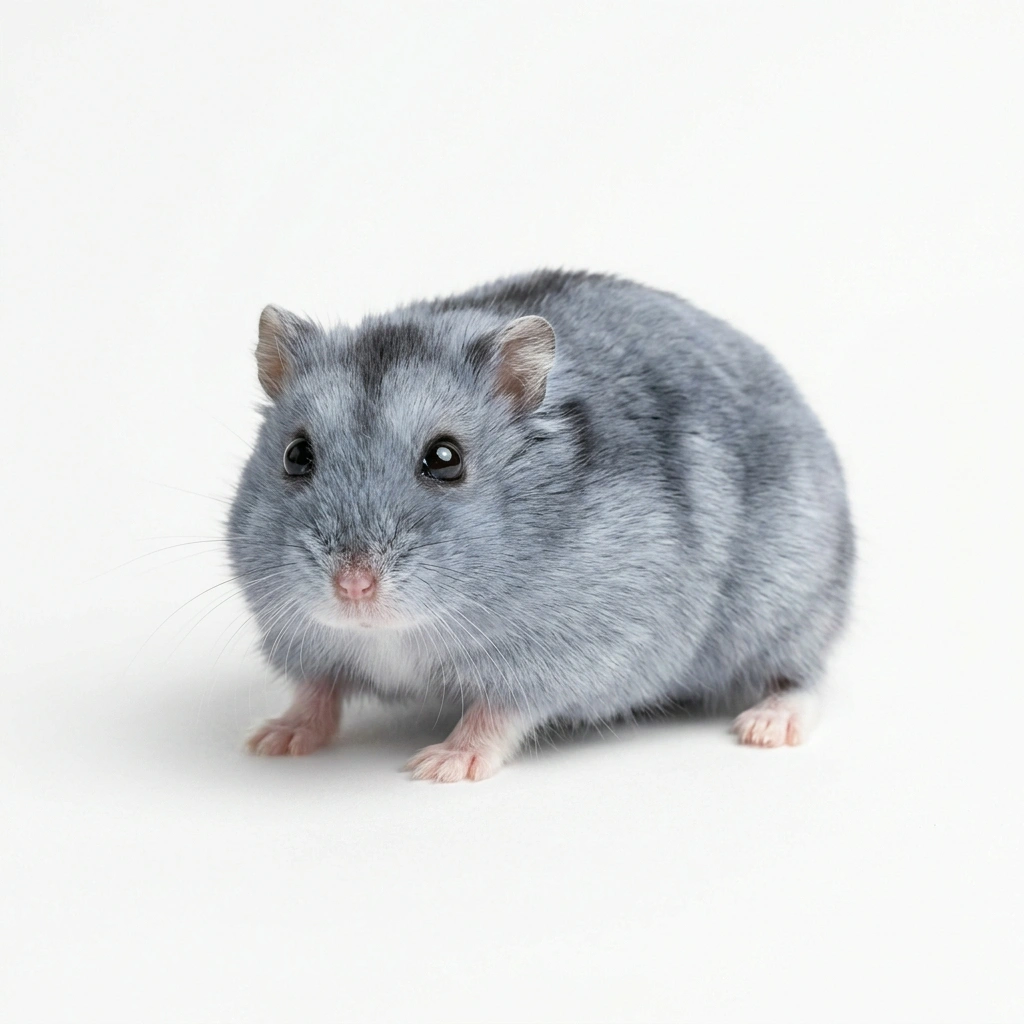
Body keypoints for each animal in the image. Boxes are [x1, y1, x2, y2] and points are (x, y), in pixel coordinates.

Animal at [228, 270, 854, 781]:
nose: (353, 587)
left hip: (788, 608)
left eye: (446, 459)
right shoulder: (302, 639)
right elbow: (315, 691)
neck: (392, 633)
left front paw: (441, 765)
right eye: (296, 456)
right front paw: (271, 740)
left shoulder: (564, 654)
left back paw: (765, 728)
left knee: (804, 678)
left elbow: (498, 712)